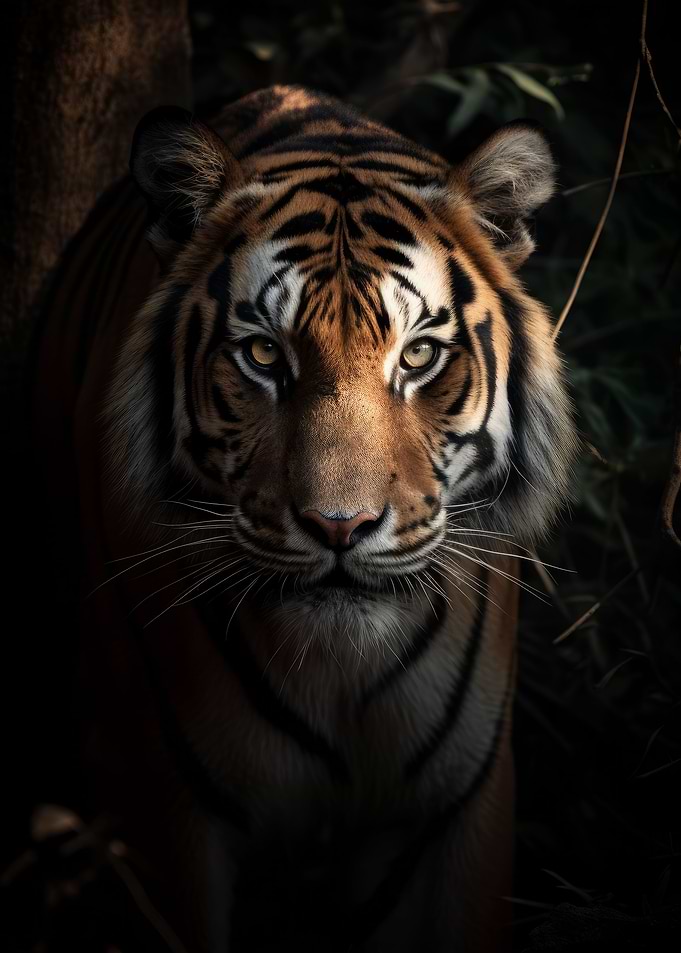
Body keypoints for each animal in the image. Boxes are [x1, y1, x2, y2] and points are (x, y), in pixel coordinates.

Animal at [32, 85, 577, 952]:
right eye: (262, 355)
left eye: (417, 356)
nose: (339, 527)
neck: (337, 674)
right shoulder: (156, 802)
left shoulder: (455, 807)